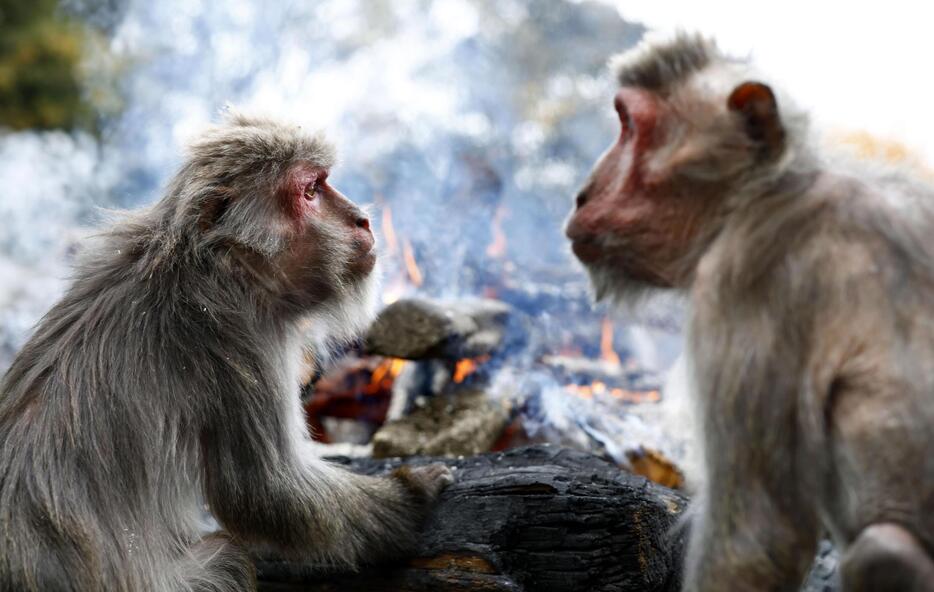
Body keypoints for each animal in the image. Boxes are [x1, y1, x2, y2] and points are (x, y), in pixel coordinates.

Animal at [0, 112, 456, 592]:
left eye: (323, 182)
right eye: (311, 191)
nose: (363, 221)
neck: (214, 262)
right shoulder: (237, 334)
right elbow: (266, 492)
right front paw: (413, 494)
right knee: (229, 555)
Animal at [568, 33, 934, 592]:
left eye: (630, 127)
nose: (583, 194)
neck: (767, 190)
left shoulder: (746, 275)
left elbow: (758, 541)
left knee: (883, 551)